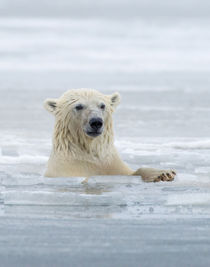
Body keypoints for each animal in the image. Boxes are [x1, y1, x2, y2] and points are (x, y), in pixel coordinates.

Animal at [44, 89, 176, 183]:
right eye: (78, 106)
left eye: (102, 105)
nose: (96, 122)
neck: (89, 151)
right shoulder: (67, 168)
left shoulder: (110, 162)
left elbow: (130, 172)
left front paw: (163, 173)